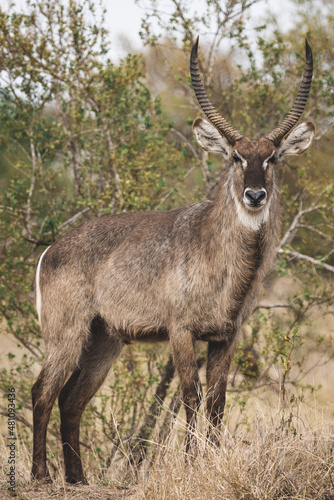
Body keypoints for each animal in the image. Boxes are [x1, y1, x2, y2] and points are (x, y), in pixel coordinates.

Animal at [32, 37, 316, 482]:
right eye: (235, 157)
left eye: (273, 158)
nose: (255, 195)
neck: (225, 267)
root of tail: (52, 248)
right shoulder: (181, 330)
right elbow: (190, 396)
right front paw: (191, 462)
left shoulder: (226, 335)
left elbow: (217, 401)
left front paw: (212, 458)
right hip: (66, 332)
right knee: (43, 391)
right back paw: (42, 475)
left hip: (104, 339)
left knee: (71, 399)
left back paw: (78, 477)